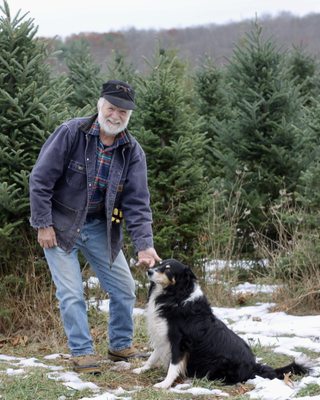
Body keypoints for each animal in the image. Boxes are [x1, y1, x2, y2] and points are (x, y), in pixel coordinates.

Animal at [132, 260, 310, 388]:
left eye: (168, 269)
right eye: (160, 264)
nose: (149, 271)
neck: (177, 296)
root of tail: (254, 366)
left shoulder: (179, 342)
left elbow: (174, 366)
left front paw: (164, 384)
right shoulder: (163, 336)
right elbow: (152, 356)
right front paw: (141, 369)